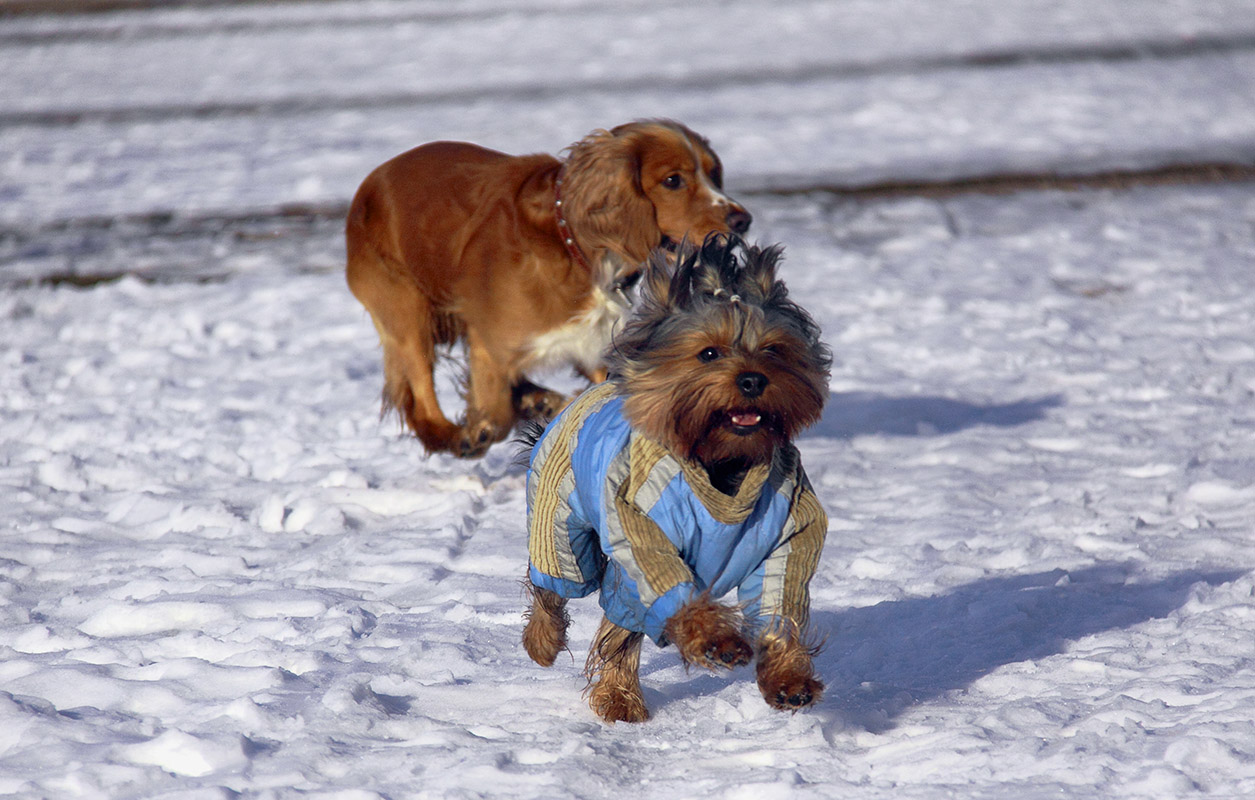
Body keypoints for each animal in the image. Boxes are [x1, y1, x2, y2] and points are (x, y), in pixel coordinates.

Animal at [343, 118, 747, 454]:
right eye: (673, 180)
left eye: (715, 174)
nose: (743, 219)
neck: (576, 249)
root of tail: (368, 184)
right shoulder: (488, 341)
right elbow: (497, 413)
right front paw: (486, 428)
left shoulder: (594, 347)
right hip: (407, 311)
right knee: (423, 400)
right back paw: (458, 436)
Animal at [522, 233, 833, 718]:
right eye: (708, 352)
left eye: (773, 350)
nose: (752, 380)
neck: (722, 464)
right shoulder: (638, 523)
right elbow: (665, 585)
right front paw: (717, 641)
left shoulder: (791, 525)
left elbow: (781, 596)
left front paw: (788, 679)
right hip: (558, 513)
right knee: (558, 582)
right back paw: (548, 648)